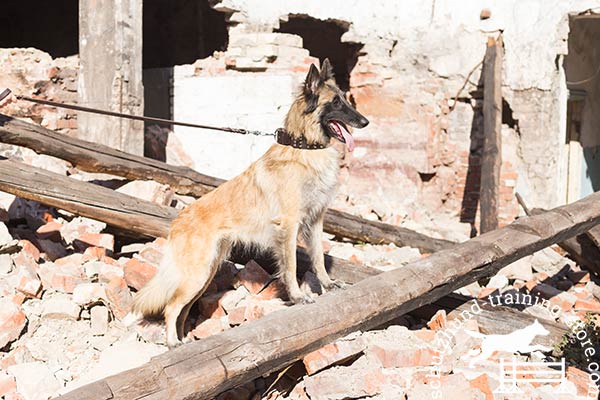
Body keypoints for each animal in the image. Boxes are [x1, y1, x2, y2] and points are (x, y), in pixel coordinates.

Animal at [129, 58, 368, 346]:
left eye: (344, 98)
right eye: (335, 103)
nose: (365, 121)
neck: (304, 147)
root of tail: (177, 222)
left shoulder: (315, 221)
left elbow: (318, 258)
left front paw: (329, 284)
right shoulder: (289, 225)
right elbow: (291, 266)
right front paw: (298, 297)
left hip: (205, 274)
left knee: (183, 308)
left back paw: (185, 339)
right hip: (197, 274)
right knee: (171, 307)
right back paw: (173, 343)